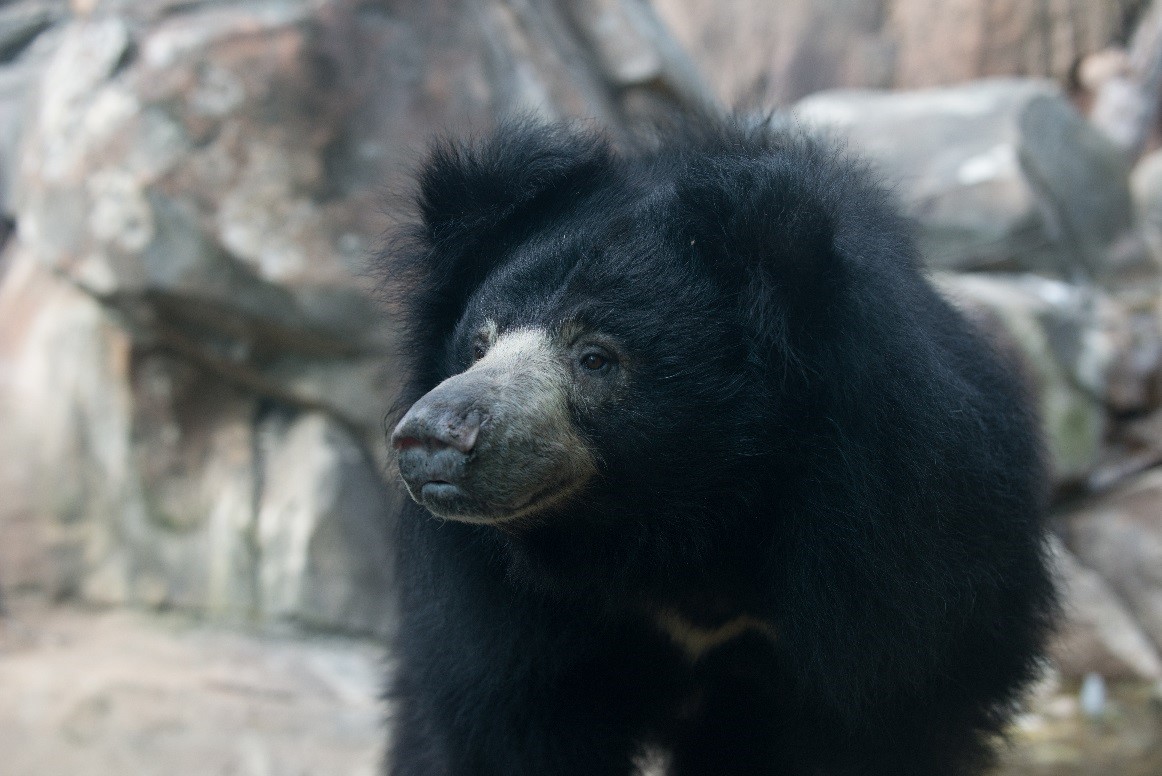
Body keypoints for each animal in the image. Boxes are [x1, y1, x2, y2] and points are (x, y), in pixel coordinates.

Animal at [385, 116, 1059, 776]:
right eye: (477, 344)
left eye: (596, 356)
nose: (431, 436)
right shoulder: (501, 620)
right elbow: (510, 718)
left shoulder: (896, 576)